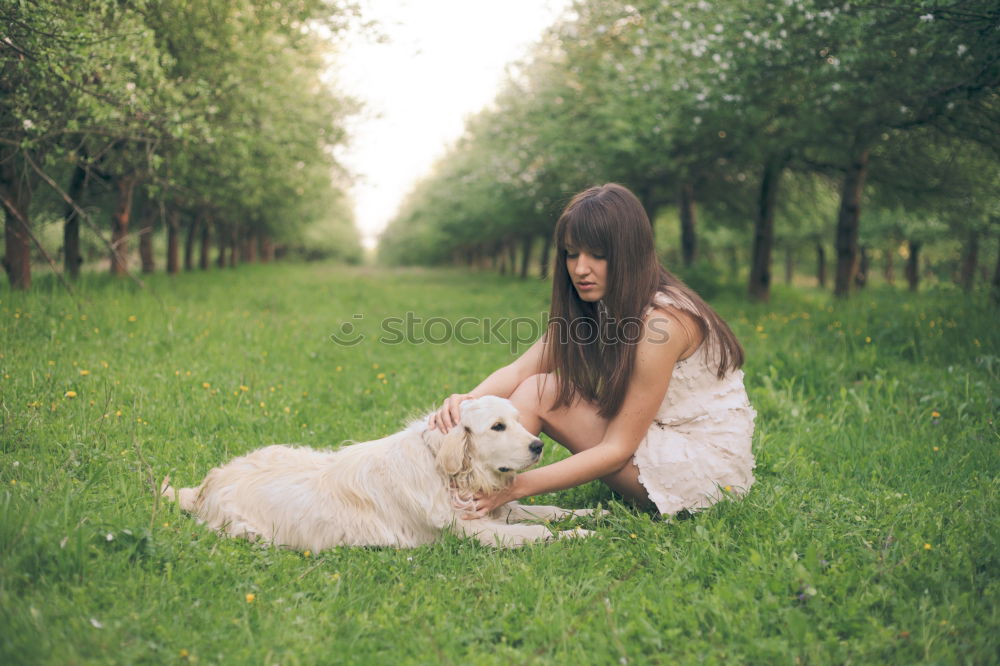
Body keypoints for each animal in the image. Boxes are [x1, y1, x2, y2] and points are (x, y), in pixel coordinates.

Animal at [160, 394, 588, 544]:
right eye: (498, 426)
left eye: (516, 421)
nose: (538, 446)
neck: (448, 472)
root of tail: (206, 485)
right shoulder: (475, 531)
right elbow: (537, 531)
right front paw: (581, 535)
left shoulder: (497, 508)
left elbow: (548, 510)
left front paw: (590, 514)